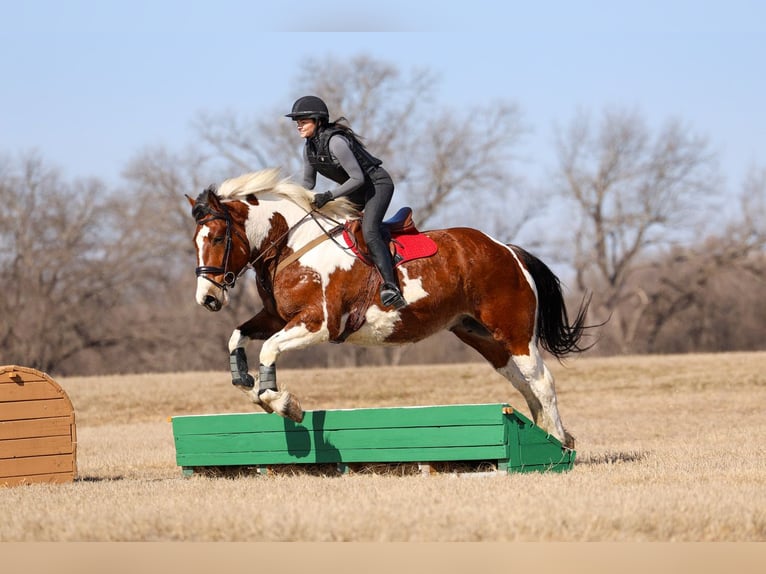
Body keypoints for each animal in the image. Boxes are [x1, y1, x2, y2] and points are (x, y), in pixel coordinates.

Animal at [187, 168, 591, 449]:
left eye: (218, 238)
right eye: (195, 241)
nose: (207, 299)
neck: (291, 245)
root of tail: (507, 249)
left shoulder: (319, 324)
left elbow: (269, 350)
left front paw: (283, 402)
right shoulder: (277, 318)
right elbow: (236, 337)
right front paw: (248, 384)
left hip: (514, 330)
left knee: (541, 380)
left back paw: (559, 442)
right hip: (479, 334)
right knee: (522, 382)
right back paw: (545, 432)